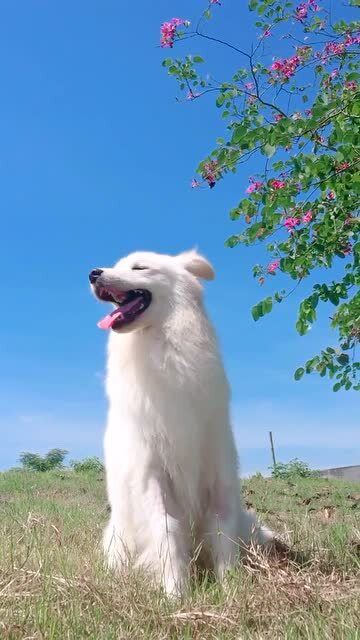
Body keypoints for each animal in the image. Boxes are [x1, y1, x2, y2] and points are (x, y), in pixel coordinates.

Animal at [90, 249, 272, 596]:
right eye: (116, 265)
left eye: (139, 267)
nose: (93, 273)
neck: (166, 350)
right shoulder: (153, 476)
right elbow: (167, 532)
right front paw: (176, 593)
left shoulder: (218, 472)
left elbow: (223, 533)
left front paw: (230, 589)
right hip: (118, 532)